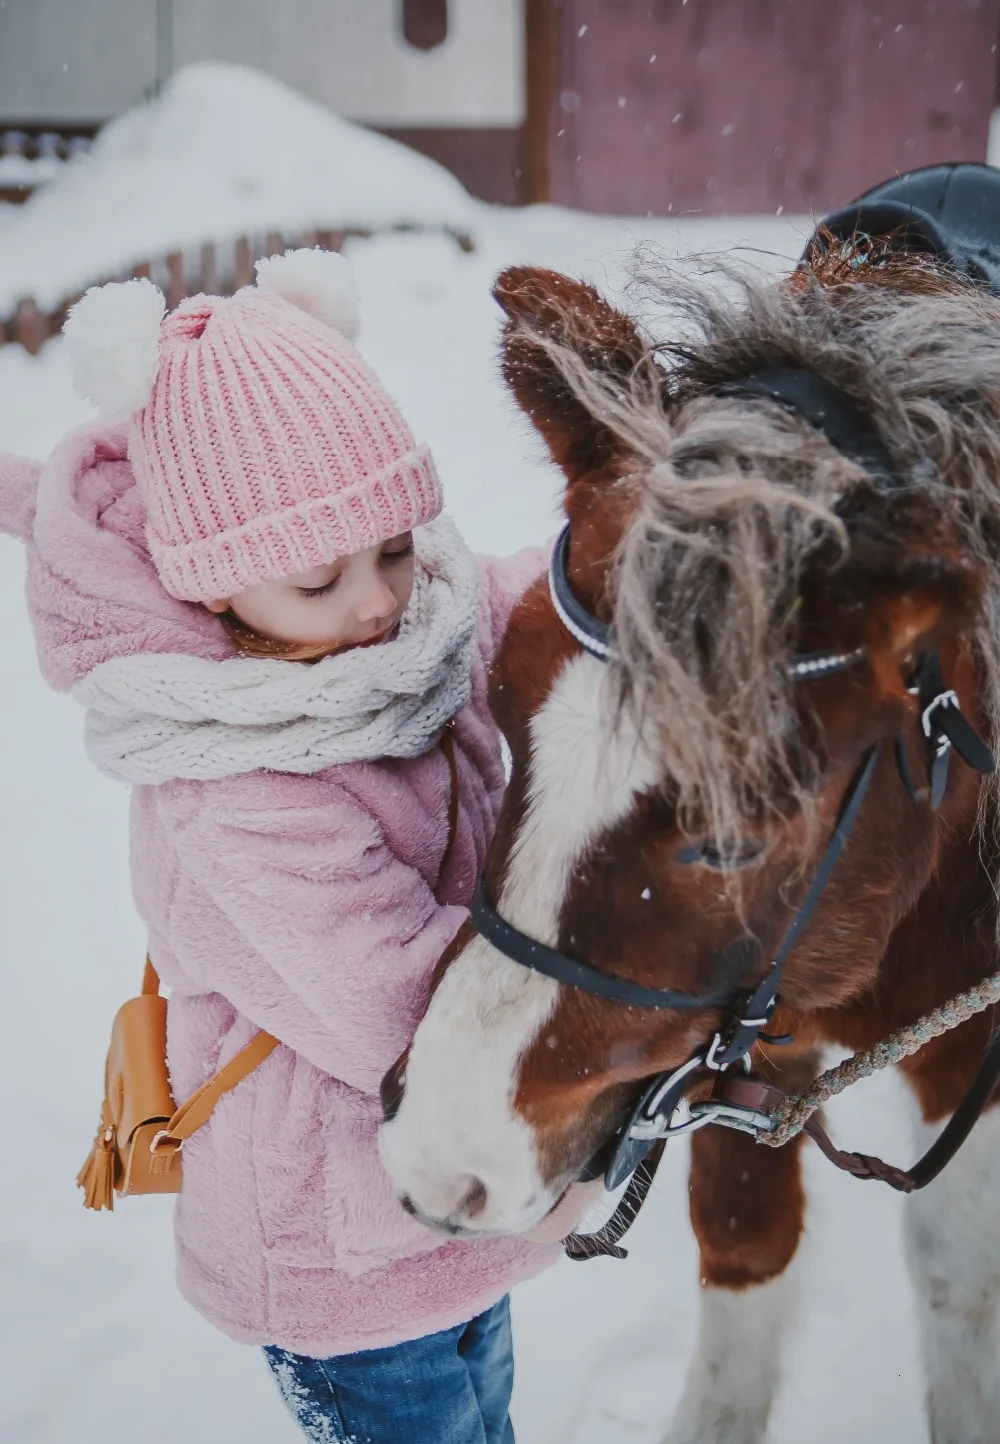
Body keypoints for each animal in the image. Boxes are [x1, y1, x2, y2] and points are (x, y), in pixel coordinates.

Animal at [378, 251, 998, 1444]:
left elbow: (957, 1274)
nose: (442, 1161)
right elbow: (746, 1230)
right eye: (499, 710)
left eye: (729, 841)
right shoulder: (737, 1037)